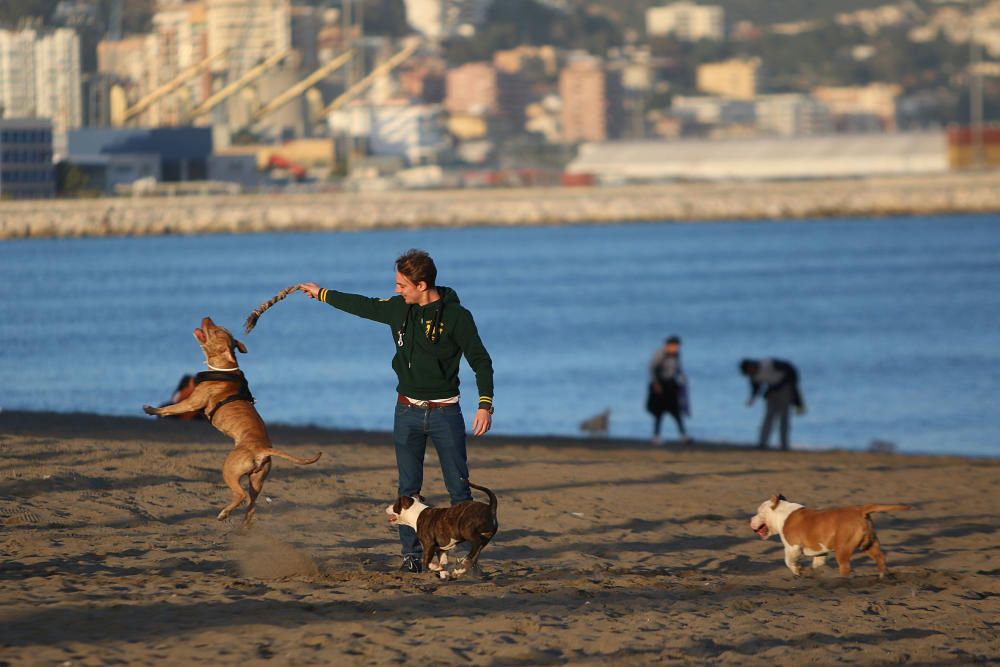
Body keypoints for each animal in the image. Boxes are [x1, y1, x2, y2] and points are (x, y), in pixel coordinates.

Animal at [144, 318, 320, 528]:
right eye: (220, 327)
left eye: (215, 331)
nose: (207, 317)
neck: (225, 368)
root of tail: (261, 450)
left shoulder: (191, 402)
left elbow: (171, 408)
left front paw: (153, 410)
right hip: (257, 481)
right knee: (251, 506)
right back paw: (243, 527)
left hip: (229, 470)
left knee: (240, 495)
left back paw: (224, 513)